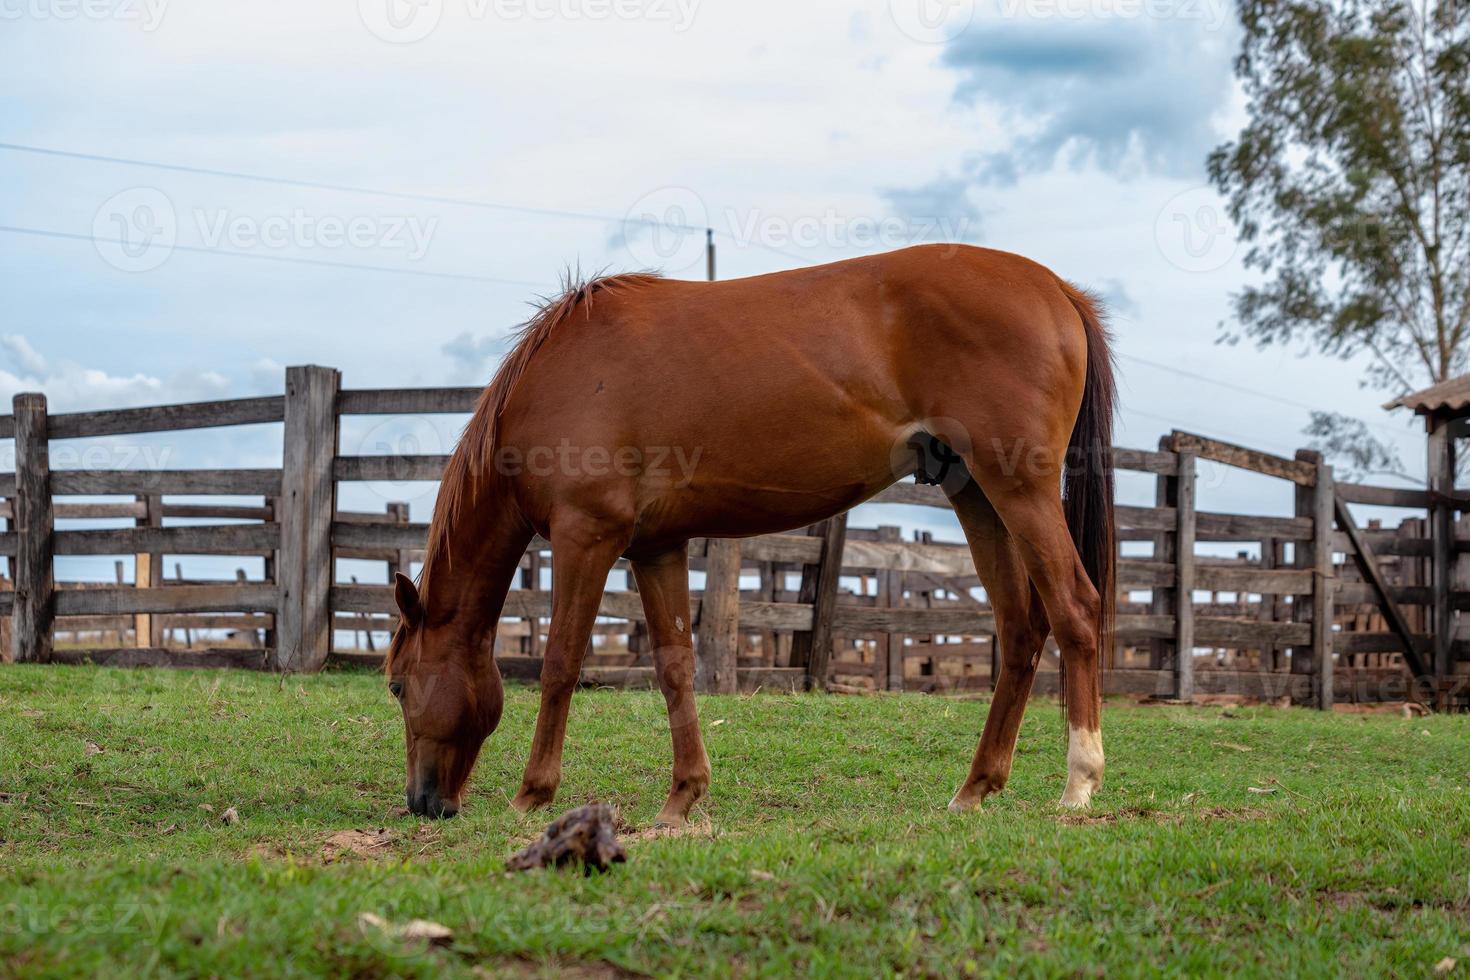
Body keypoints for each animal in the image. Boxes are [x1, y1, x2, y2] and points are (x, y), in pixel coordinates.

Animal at [385, 243, 1117, 822]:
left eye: (395, 687)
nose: (423, 803)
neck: (554, 379)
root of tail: (1056, 289)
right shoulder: (656, 547)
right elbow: (675, 666)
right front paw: (683, 796)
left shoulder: (585, 538)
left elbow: (561, 663)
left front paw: (532, 794)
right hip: (976, 495)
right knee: (1021, 628)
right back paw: (976, 786)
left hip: (1018, 490)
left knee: (1075, 610)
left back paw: (1079, 783)